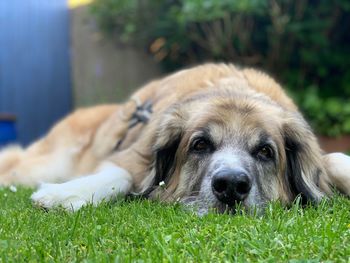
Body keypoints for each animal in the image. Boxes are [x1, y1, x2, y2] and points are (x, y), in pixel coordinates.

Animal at [0, 64, 350, 214]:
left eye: (265, 151)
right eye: (200, 145)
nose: (231, 186)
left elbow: (334, 158)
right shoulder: (133, 155)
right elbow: (122, 175)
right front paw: (65, 194)